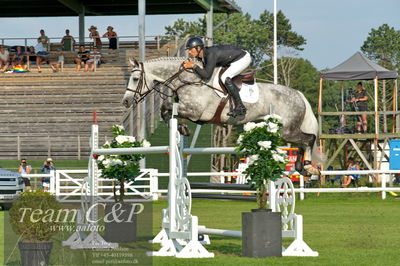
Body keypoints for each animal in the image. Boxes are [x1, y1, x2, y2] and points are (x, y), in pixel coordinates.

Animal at [121, 58, 322, 162]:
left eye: (135, 78)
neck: (188, 80)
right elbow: (168, 109)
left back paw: (307, 166)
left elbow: (167, 106)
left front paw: (179, 127)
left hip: (287, 130)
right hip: (284, 131)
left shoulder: (195, 111)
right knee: (302, 142)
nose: (125, 101)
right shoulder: (191, 112)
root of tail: (298, 94)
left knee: (309, 139)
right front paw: (181, 128)